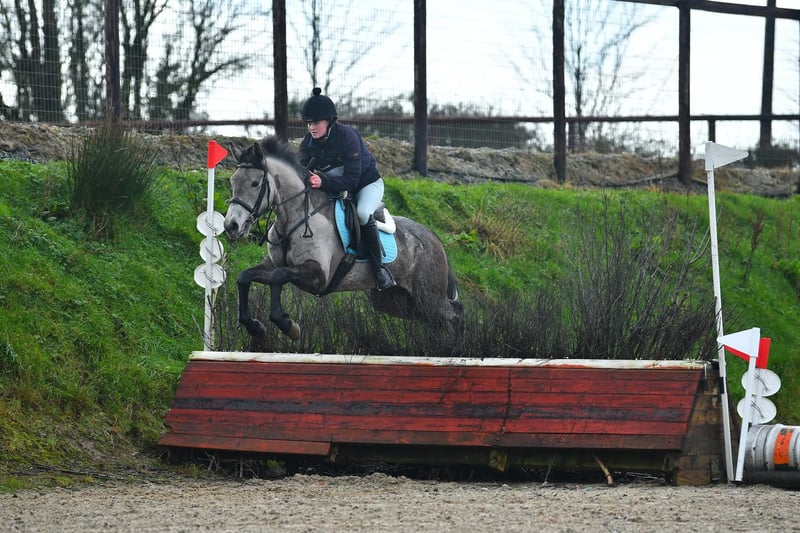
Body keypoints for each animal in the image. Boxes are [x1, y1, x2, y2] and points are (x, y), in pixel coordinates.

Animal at [223, 136, 464, 342]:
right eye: (232, 182)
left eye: (255, 183)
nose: (231, 226)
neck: (294, 218)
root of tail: (434, 238)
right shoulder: (273, 264)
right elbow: (245, 277)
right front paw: (255, 327)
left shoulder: (318, 276)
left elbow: (278, 276)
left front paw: (288, 326)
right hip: (396, 301)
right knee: (435, 322)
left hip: (428, 296)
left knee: (453, 314)